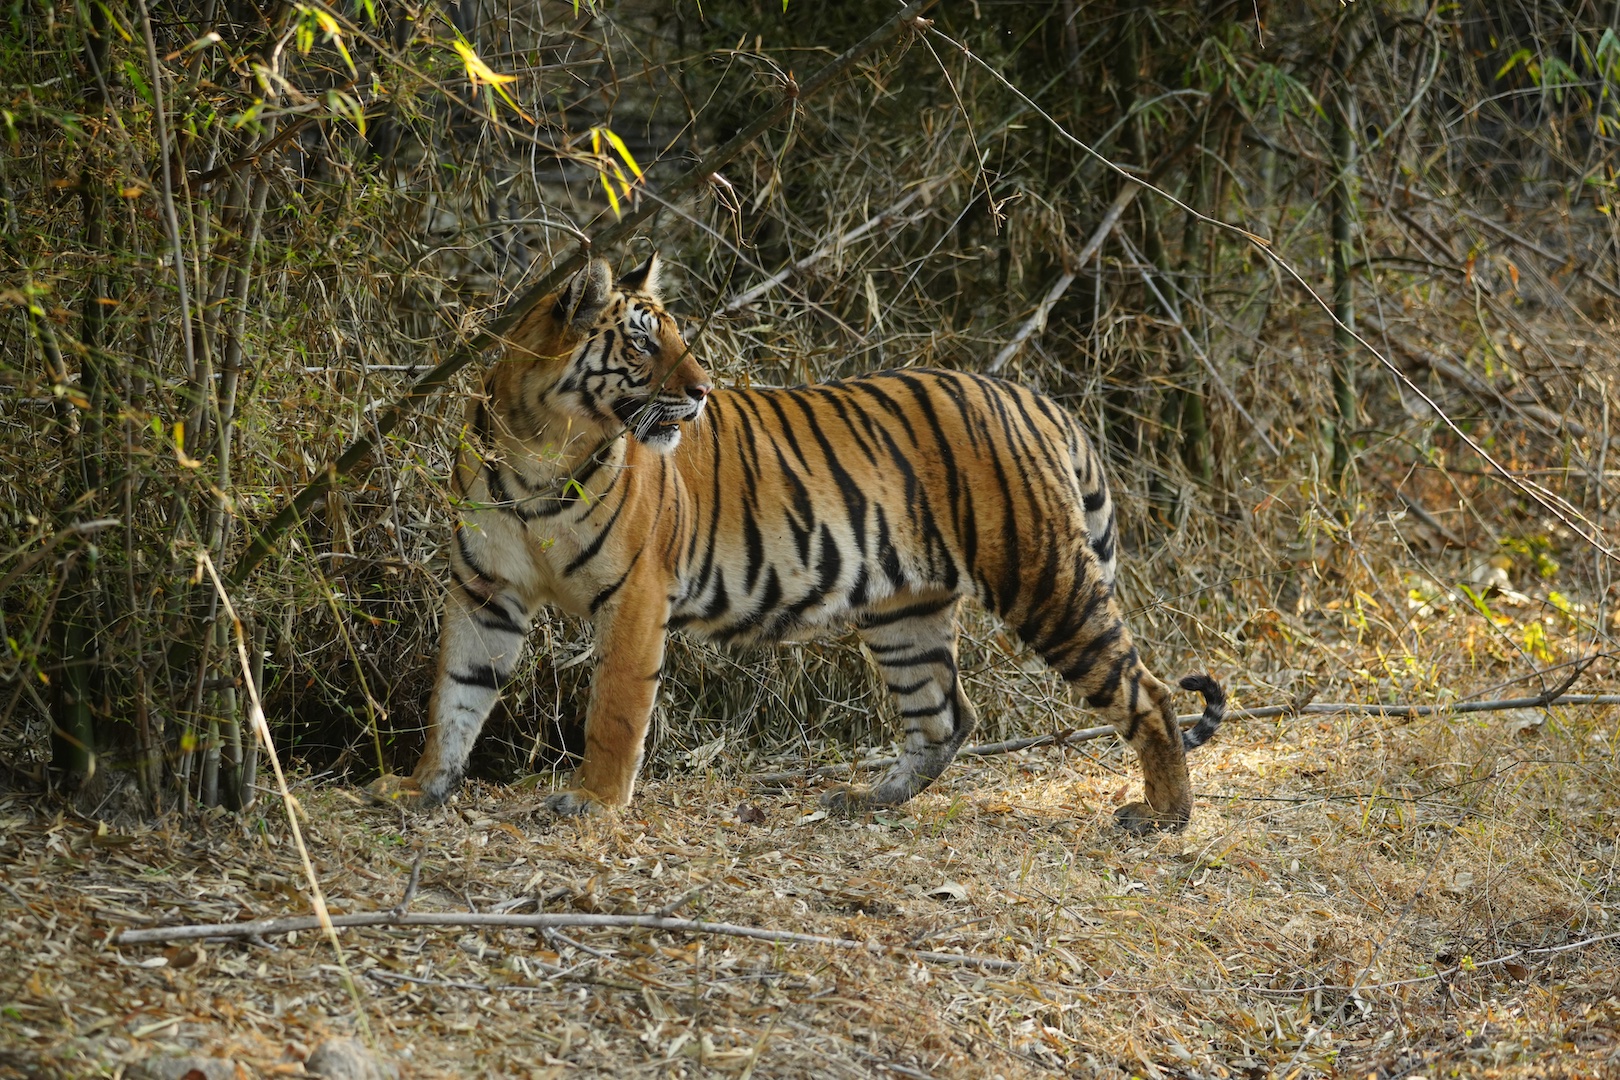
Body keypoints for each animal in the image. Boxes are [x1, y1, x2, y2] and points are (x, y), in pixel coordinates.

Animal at [368, 252, 1226, 833]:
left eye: (677, 338)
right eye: (643, 345)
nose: (702, 391)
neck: (541, 445)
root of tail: (1036, 399)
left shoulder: (636, 595)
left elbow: (613, 711)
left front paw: (592, 802)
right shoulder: (485, 591)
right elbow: (456, 694)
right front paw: (422, 786)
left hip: (1042, 578)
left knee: (1146, 692)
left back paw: (1165, 816)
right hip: (906, 610)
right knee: (945, 714)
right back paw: (868, 799)